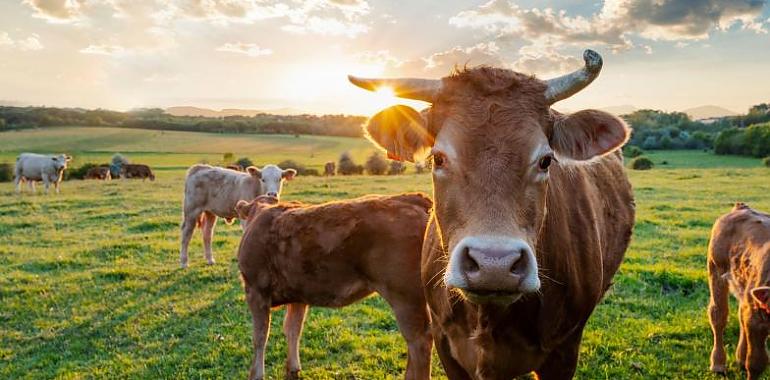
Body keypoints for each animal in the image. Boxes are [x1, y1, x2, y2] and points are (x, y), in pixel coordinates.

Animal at [234, 193, 432, 380]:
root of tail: (409, 198)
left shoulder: (255, 290)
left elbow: (260, 336)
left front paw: (256, 374)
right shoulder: (298, 295)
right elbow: (293, 329)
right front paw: (293, 368)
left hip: (405, 298)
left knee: (419, 341)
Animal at [708, 203, 768, 378]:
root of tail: (741, 207)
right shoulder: (757, 320)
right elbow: (756, 363)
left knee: (741, 315)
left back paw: (740, 358)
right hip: (716, 270)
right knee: (718, 315)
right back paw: (718, 364)